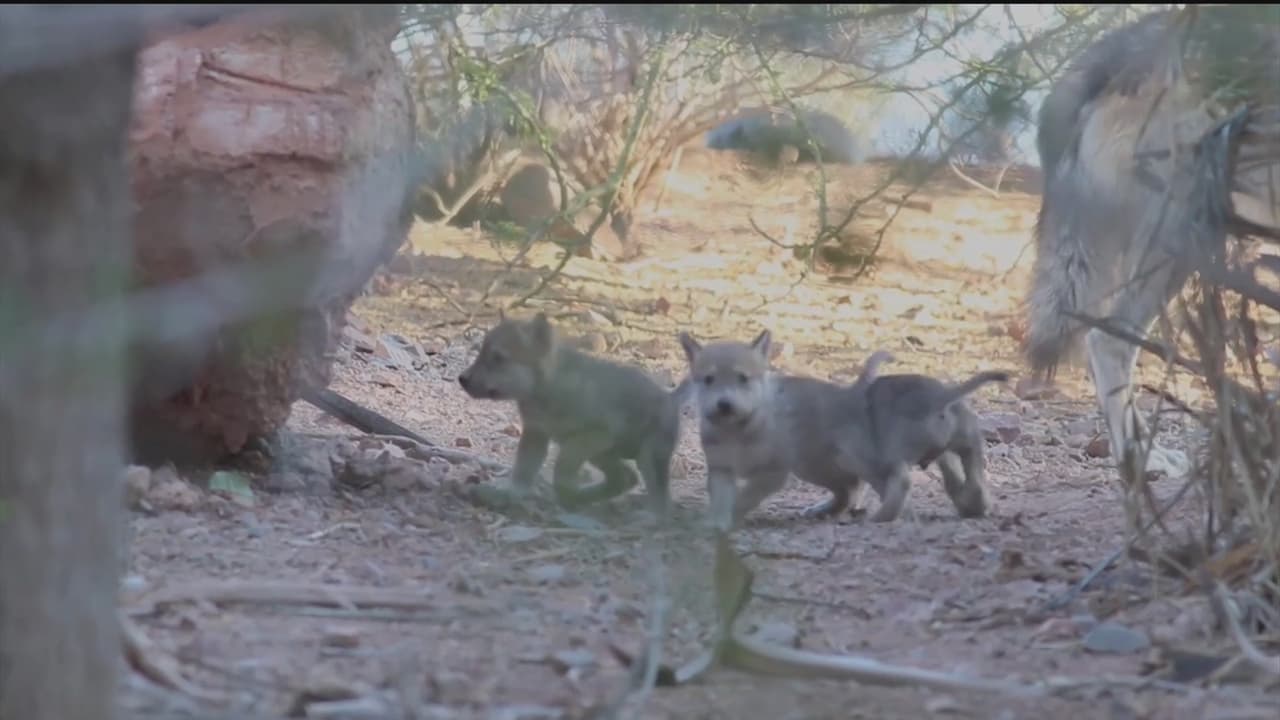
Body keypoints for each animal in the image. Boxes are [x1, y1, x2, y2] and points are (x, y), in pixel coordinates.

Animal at [458, 312, 690, 521]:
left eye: (499, 358)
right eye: (481, 353)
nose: (462, 379)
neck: (547, 388)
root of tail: (671, 398)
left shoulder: (590, 436)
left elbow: (561, 471)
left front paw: (567, 491)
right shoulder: (536, 435)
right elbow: (523, 472)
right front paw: (509, 494)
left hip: (647, 456)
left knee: (660, 500)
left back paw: (649, 518)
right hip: (604, 455)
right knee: (625, 478)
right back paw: (589, 497)